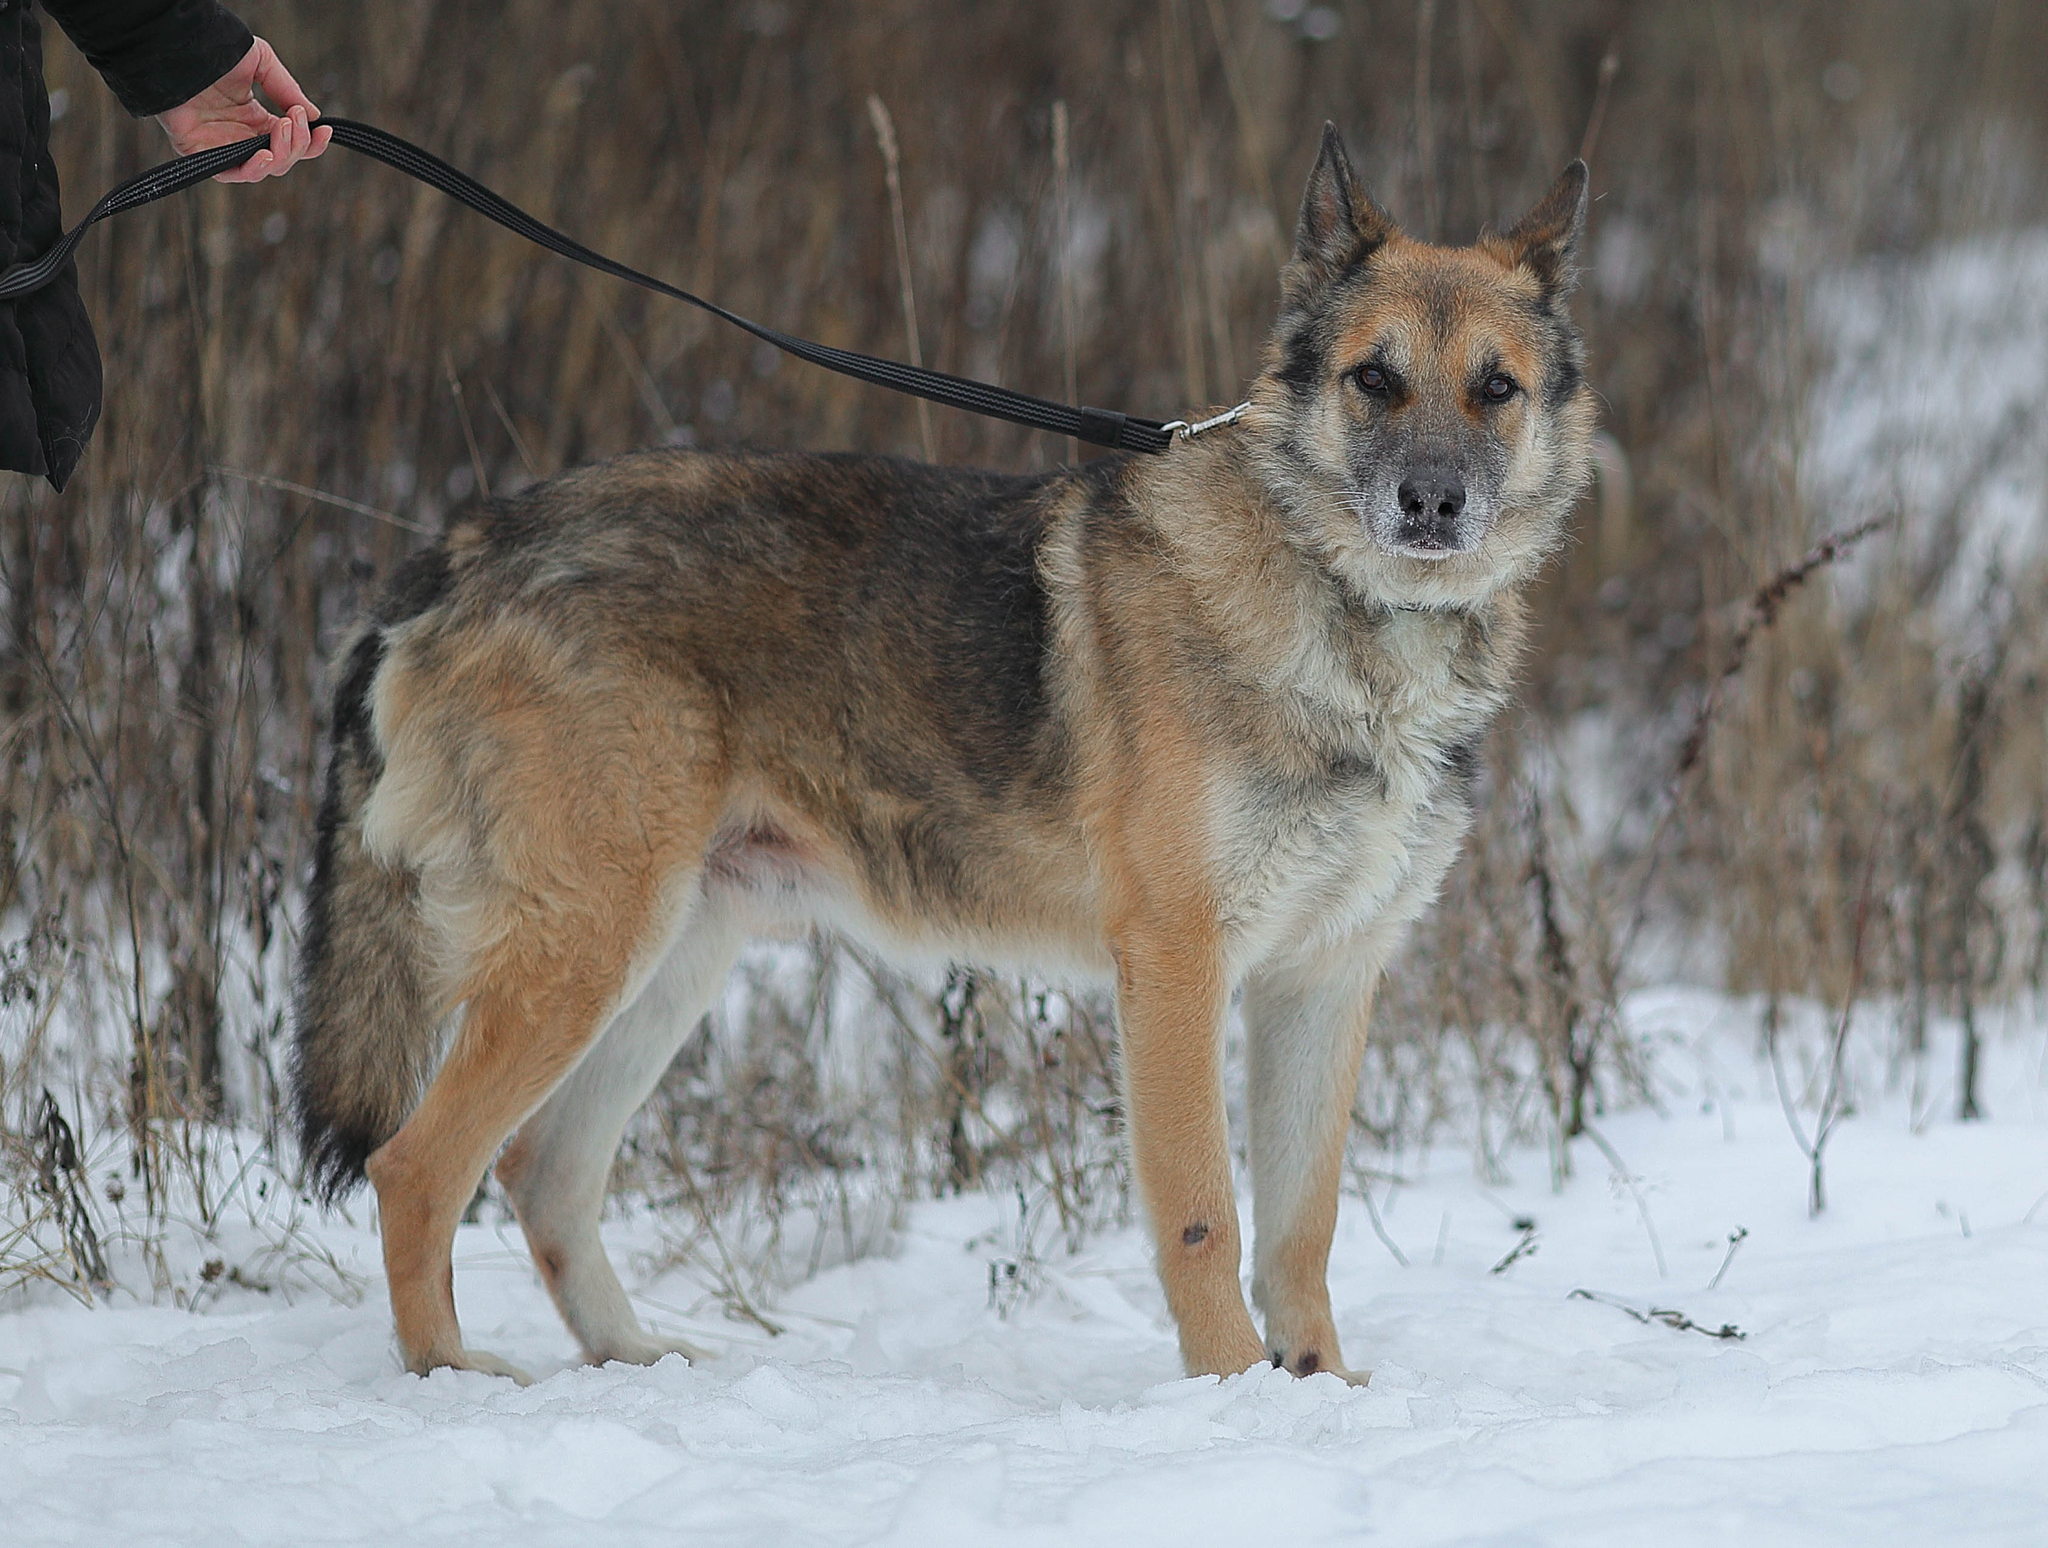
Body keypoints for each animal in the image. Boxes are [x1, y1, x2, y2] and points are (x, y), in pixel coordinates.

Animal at [292, 130, 1597, 1376]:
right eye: (1373, 379)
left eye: (1494, 389)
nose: (1430, 503)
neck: (1348, 623)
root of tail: (465, 543)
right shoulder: (1178, 967)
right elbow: (1203, 1222)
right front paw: (1233, 1396)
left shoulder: (1322, 977)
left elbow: (1299, 1232)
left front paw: (1313, 1390)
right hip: (582, 955)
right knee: (417, 1169)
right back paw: (456, 1379)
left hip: (665, 961)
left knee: (538, 1172)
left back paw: (637, 1365)